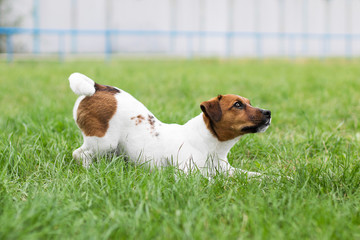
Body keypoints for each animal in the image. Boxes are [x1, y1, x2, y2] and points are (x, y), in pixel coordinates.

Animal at [69, 73, 270, 176]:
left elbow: (258, 176)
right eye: (237, 105)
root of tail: (97, 88)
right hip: (104, 142)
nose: (268, 113)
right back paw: (91, 171)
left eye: (249, 102)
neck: (212, 146)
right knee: (79, 154)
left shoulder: (229, 170)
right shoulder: (189, 175)